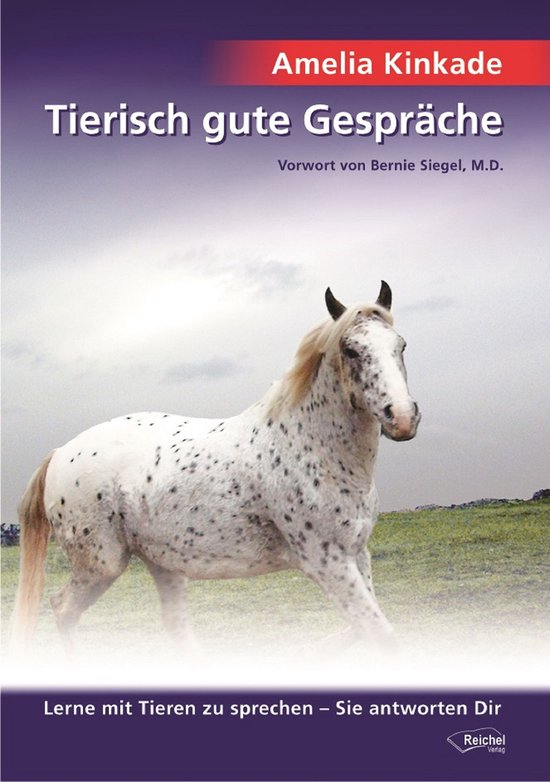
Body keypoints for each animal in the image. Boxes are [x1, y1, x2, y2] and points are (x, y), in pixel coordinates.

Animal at [10, 282, 420, 655]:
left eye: (400, 346)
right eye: (351, 350)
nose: (401, 418)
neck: (312, 448)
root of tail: (60, 453)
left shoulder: (357, 554)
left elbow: (364, 629)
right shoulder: (326, 560)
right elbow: (382, 635)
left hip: (163, 565)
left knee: (175, 628)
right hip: (102, 566)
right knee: (62, 609)